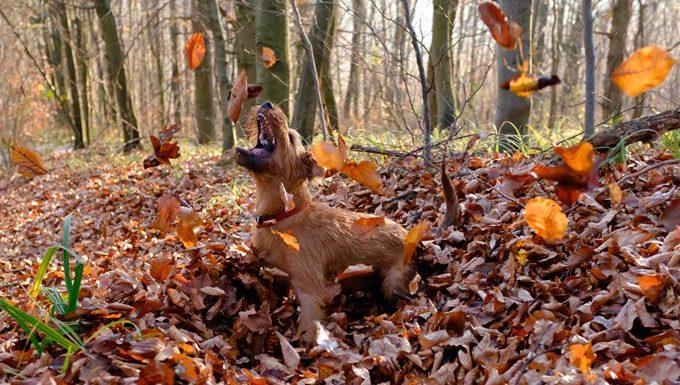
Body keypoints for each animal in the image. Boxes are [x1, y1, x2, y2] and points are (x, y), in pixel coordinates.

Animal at [236, 101, 412, 340]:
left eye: (290, 137)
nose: (267, 103)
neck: (283, 216)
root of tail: (410, 235)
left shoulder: (310, 290)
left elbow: (308, 327)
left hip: (393, 283)